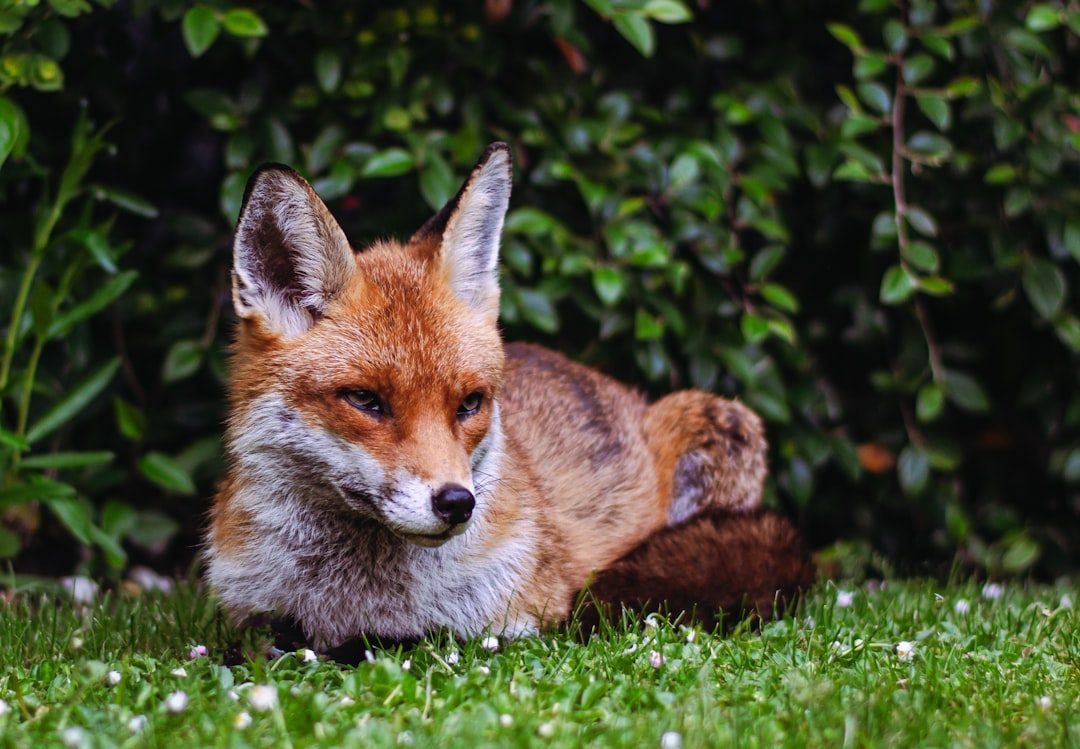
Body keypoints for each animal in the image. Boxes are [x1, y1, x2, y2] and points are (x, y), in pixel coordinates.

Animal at [205, 142, 813, 652]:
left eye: (470, 403)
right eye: (365, 399)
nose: (457, 502)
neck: (355, 604)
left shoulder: (513, 625)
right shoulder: (251, 617)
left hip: (722, 426)